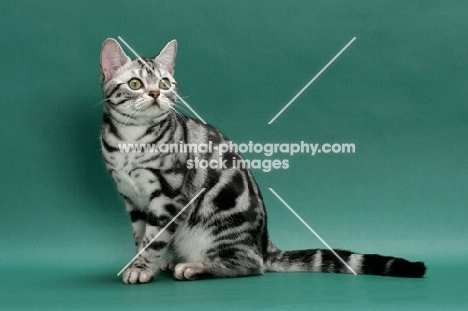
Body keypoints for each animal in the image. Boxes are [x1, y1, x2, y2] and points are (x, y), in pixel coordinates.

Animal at [99, 37, 428, 284]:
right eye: (135, 84)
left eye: (165, 83)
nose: (157, 93)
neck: (130, 139)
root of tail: (265, 243)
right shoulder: (132, 198)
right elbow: (141, 237)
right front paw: (138, 262)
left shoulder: (167, 195)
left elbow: (154, 239)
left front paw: (143, 268)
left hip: (218, 224)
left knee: (250, 264)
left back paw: (195, 266)